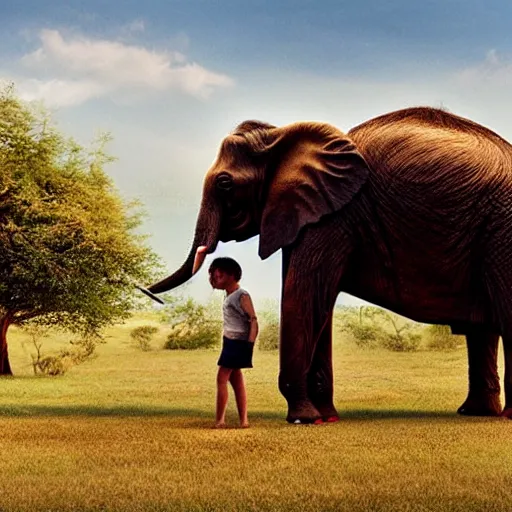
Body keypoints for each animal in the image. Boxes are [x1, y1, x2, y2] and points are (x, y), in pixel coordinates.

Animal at [146, 108, 510, 424]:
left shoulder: (335, 217)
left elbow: (304, 297)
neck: (281, 136)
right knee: (481, 330)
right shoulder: (305, 213)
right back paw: (476, 413)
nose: (149, 293)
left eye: (224, 183)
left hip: (501, 229)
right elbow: (317, 303)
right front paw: (324, 416)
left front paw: (302, 419)